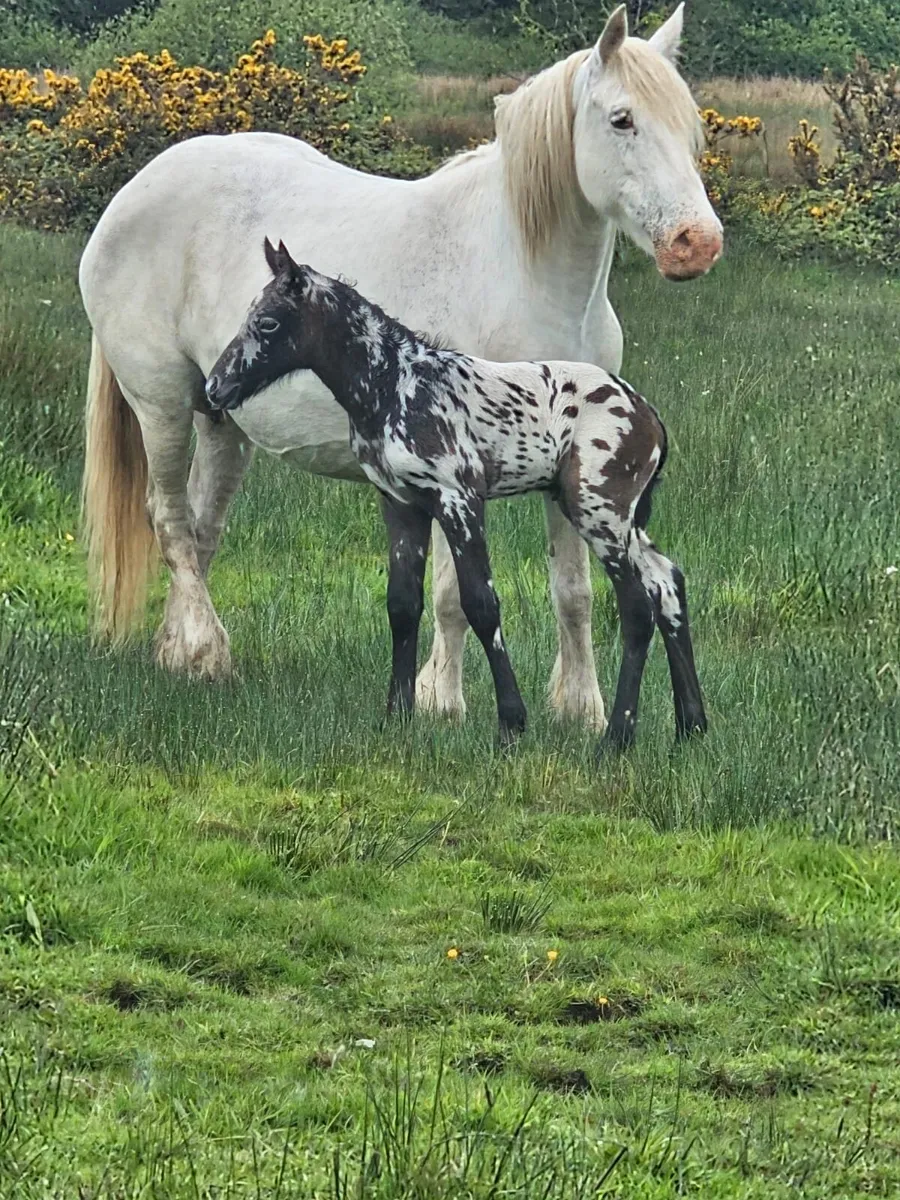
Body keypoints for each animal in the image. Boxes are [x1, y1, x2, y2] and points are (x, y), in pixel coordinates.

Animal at [206, 239, 707, 751]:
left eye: (268, 322)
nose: (214, 387)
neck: (399, 386)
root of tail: (648, 415)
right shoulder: (401, 505)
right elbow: (402, 606)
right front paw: (397, 716)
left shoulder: (459, 501)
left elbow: (482, 605)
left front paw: (511, 723)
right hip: (621, 519)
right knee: (668, 583)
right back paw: (691, 726)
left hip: (599, 512)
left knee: (638, 607)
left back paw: (616, 738)